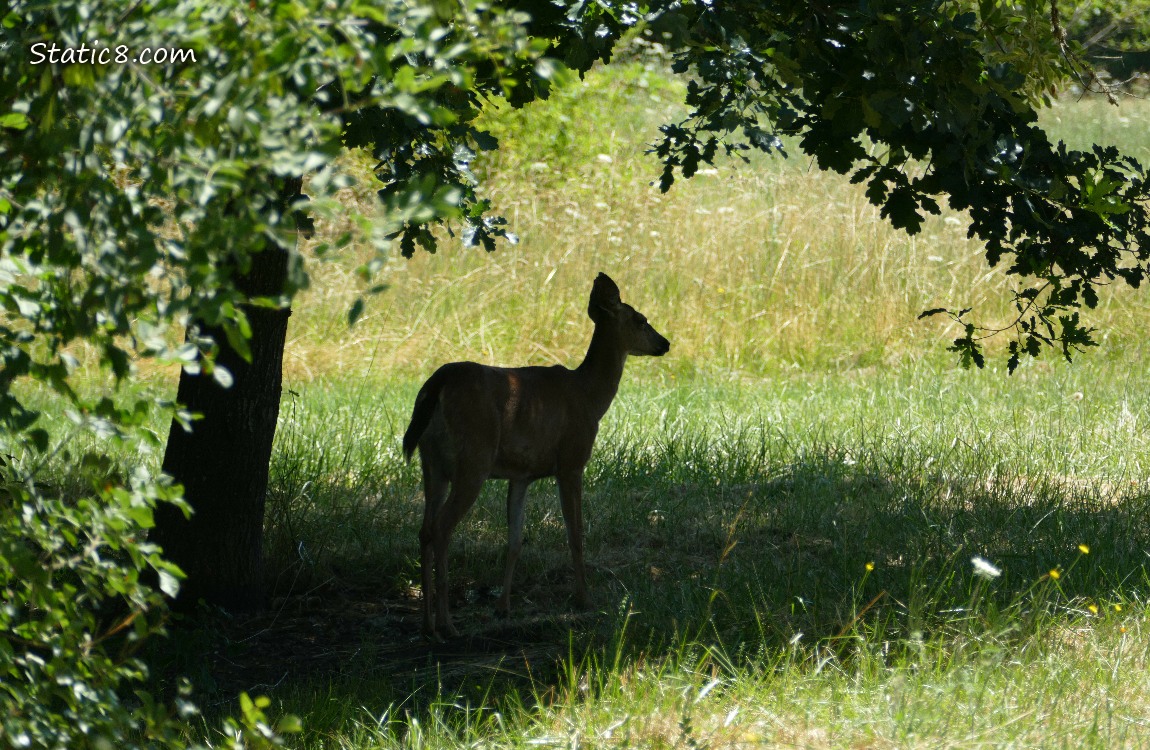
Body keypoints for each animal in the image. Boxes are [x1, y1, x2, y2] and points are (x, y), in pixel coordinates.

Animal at [402, 273, 670, 638]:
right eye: (641, 319)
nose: (665, 343)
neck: (589, 396)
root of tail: (436, 384)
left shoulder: (521, 474)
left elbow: (514, 540)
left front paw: (503, 607)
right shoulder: (571, 460)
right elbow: (576, 532)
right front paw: (584, 599)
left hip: (431, 463)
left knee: (424, 529)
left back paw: (427, 623)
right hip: (474, 457)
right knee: (442, 528)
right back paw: (447, 625)